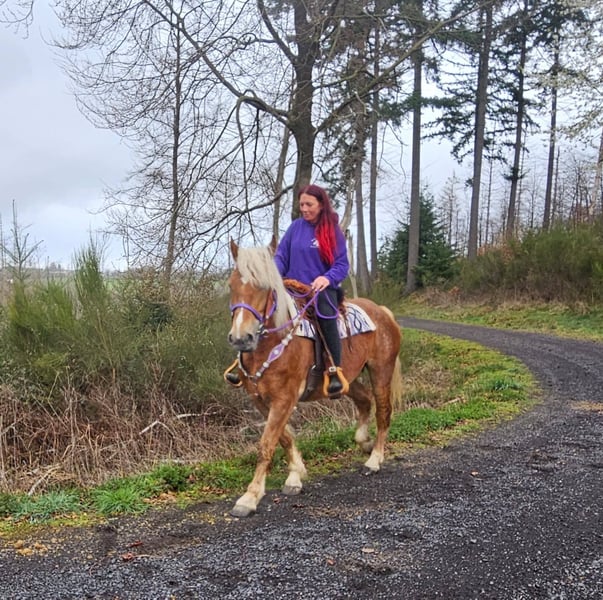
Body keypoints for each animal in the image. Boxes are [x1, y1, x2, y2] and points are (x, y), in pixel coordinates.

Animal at [227, 237, 403, 517]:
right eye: (231, 285)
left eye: (265, 287)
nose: (241, 338)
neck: (274, 342)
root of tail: (382, 311)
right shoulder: (260, 399)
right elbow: (284, 437)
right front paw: (296, 475)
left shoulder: (285, 398)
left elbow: (267, 443)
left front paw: (250, 497)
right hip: (348, 379)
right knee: (364, 400)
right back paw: (364, 442)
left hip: (381, 372)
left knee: (383, 411)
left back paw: (374, 459)